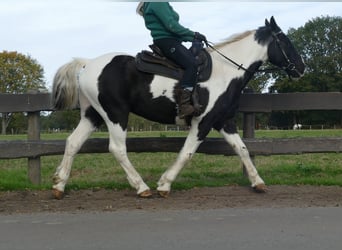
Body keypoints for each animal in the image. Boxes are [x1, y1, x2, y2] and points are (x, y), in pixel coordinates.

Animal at [51, 16, 304, 198]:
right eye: (285, 41)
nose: (301, 69)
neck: (227, 71)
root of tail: (87, 64)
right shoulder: (203, 121)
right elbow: (187, 152)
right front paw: (164, 184)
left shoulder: (223, 121)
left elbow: (242, 149)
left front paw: (258, 182)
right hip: (116, 114)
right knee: (117, 148)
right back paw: (142, 187)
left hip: (92, 115)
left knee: (73, 142)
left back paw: (59, 185)